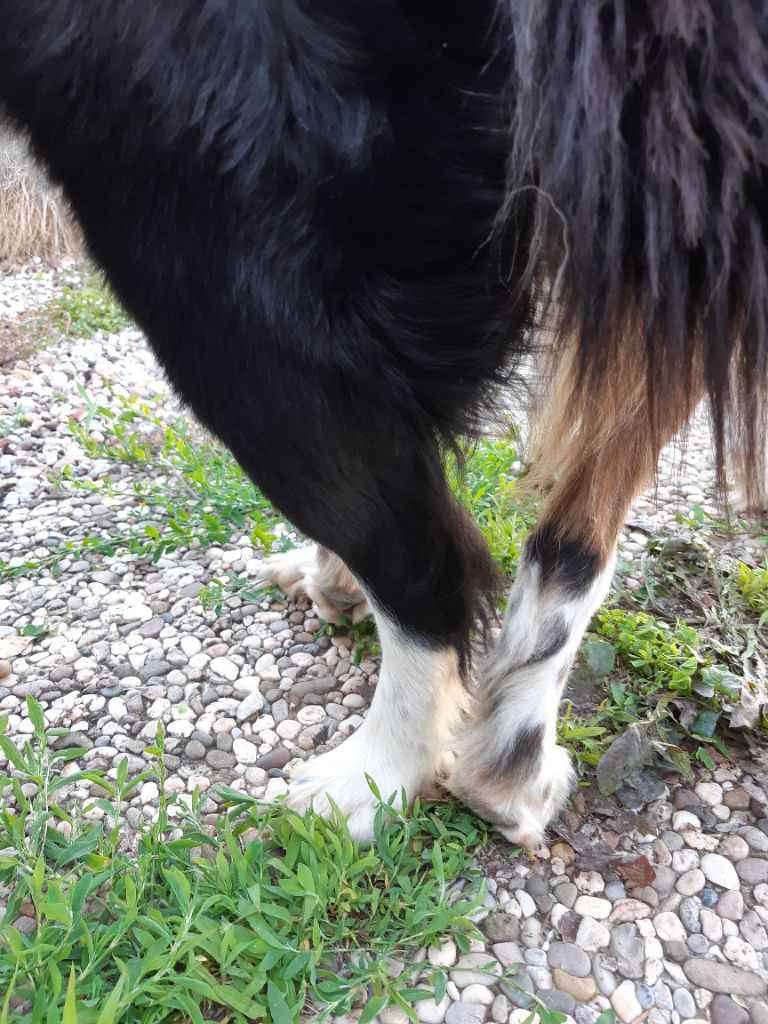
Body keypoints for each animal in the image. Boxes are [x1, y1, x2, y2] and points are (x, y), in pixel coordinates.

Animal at [3, 4, 765, 843]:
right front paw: (324, 575)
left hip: (199, 229)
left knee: (425, 565)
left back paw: (379, 774)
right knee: (570, 532)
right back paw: (507, 760)